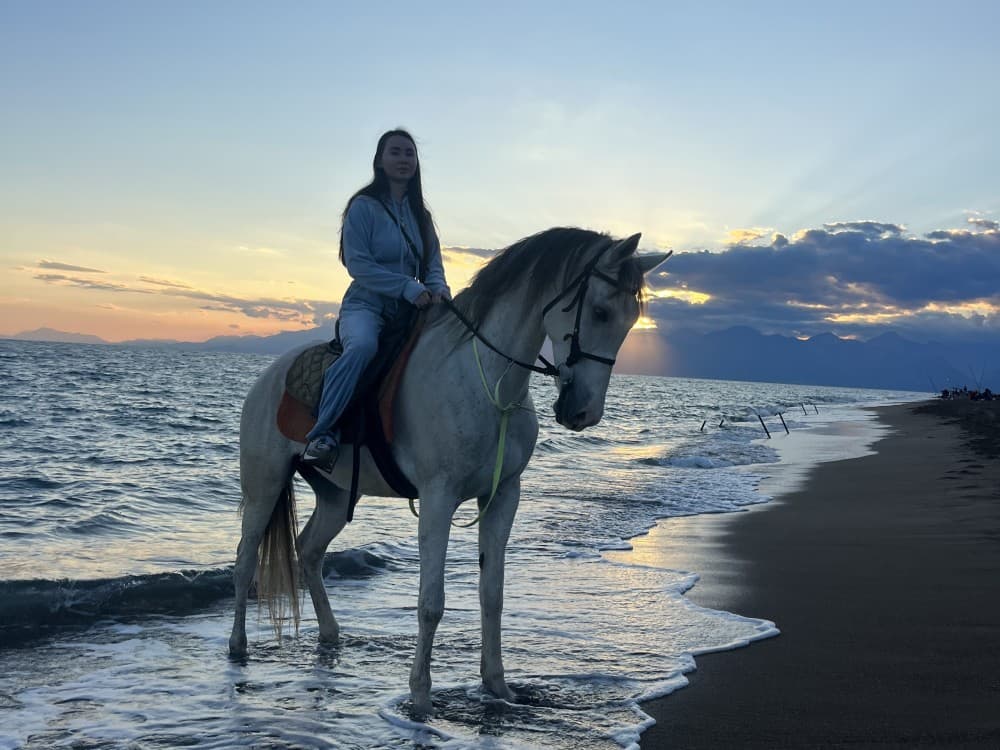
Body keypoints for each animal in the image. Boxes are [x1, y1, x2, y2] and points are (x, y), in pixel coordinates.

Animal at [229, 227, 669, 715]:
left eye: (631, 320)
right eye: (600, 310)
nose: (583, 412)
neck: (487, 381)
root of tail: (267, 378)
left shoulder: (502, 496)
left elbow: (492, 594)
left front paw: (497, 687)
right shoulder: (438, 499)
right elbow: (431, 602)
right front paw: (420, 697)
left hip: (336, 495)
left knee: (308, 550)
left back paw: (330, 637)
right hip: (264, 484)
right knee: (245, 562)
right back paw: (238, 647)